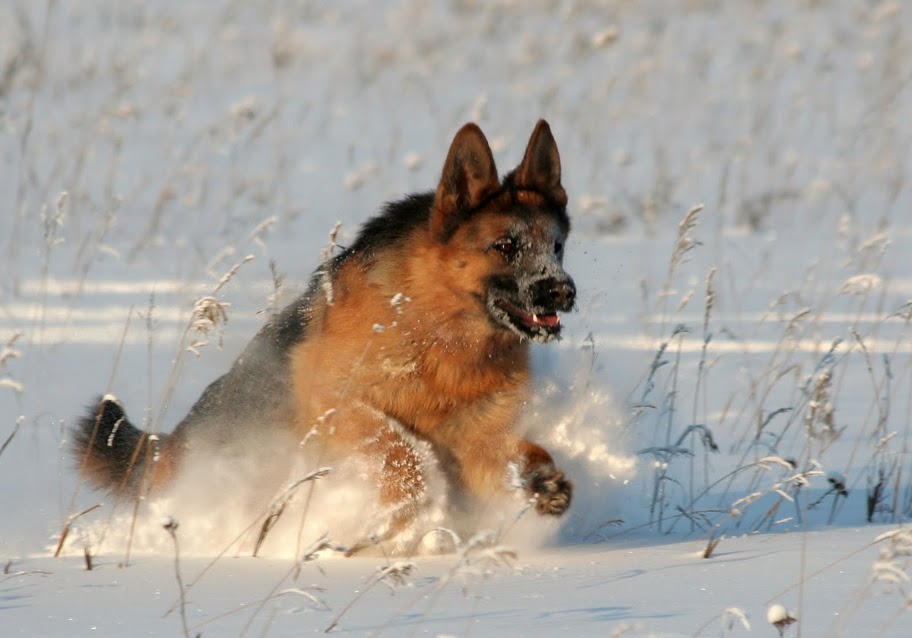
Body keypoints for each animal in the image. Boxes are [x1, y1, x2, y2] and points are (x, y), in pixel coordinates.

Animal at [76, 121, 576, 556]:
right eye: (505, 246)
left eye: (556, 247)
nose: (563, 291)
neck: (438, 333)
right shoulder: (337, 399)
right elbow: (401, 451)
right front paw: (404, 513)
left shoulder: (475, 444)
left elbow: (509, 456)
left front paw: (540, 480)